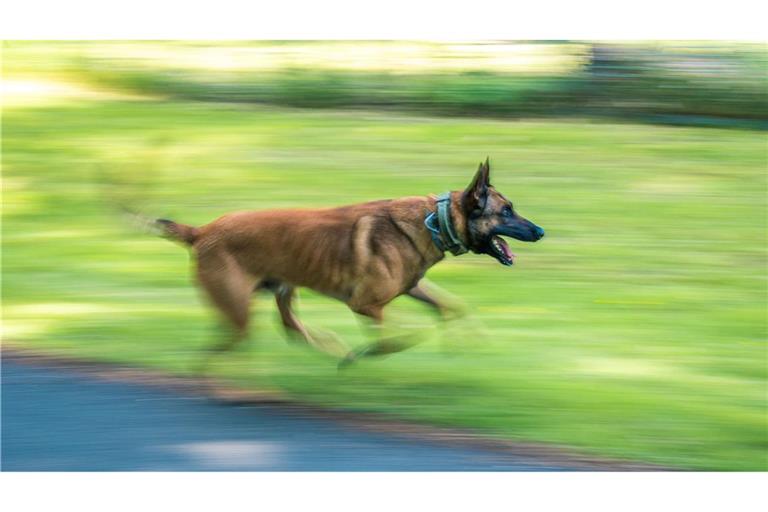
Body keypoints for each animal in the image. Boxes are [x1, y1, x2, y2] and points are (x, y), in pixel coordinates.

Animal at [153, 157, 544, 368]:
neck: (435, 220)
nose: (541, 231)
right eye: (506, 211)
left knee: (289, 328)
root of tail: (201, 231)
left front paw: (466, 342)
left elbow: (452, 306)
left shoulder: (413, 287)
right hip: (238, 309)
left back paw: (326, 346)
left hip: (282, 291)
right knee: (220, 349)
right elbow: (397, 339)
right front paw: (362, 354)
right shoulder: (366, 305)